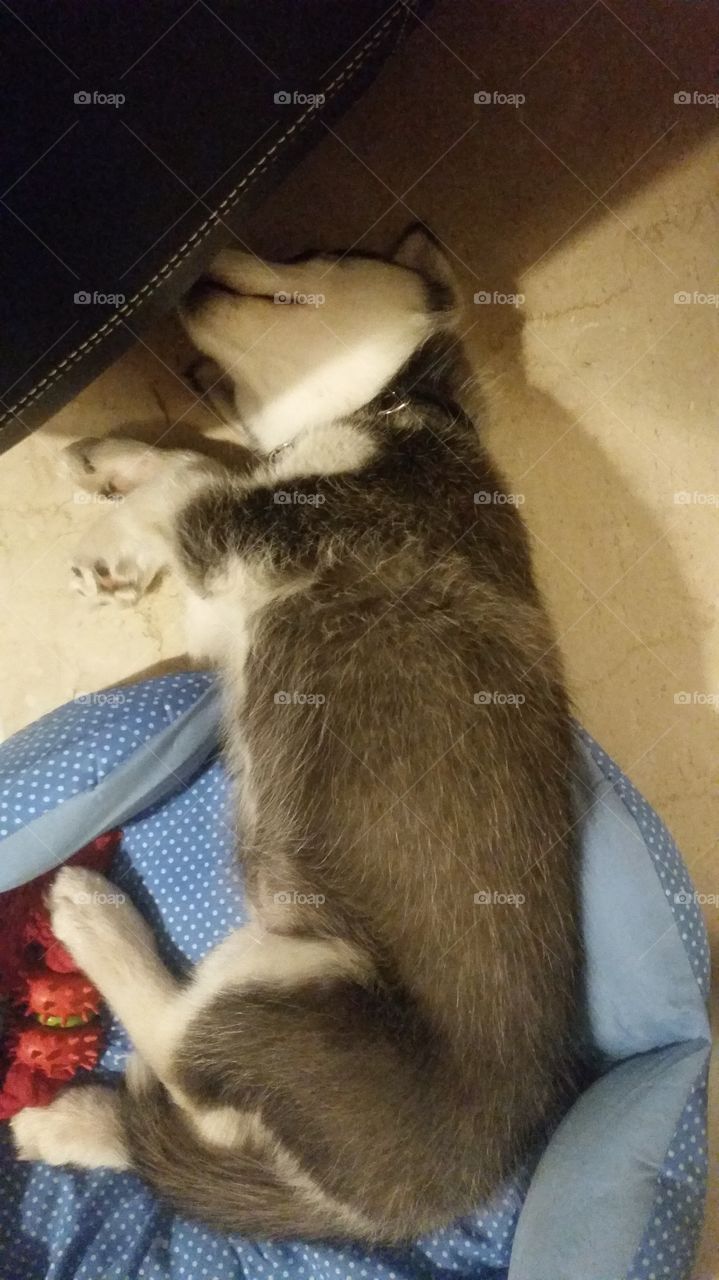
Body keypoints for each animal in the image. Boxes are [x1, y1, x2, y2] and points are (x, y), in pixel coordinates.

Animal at [11, 227, 578, 1239]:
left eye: (319, 250)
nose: (216, 248)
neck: (390, 407)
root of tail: (407, 1209)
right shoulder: (223, 598)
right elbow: (190, 461)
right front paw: (111, 465)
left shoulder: (257, 534)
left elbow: (197, 473)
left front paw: (111, 537)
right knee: (202, 1140)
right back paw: (73, 1123)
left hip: (288, 984)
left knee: (181, 1058)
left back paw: (95, 921)